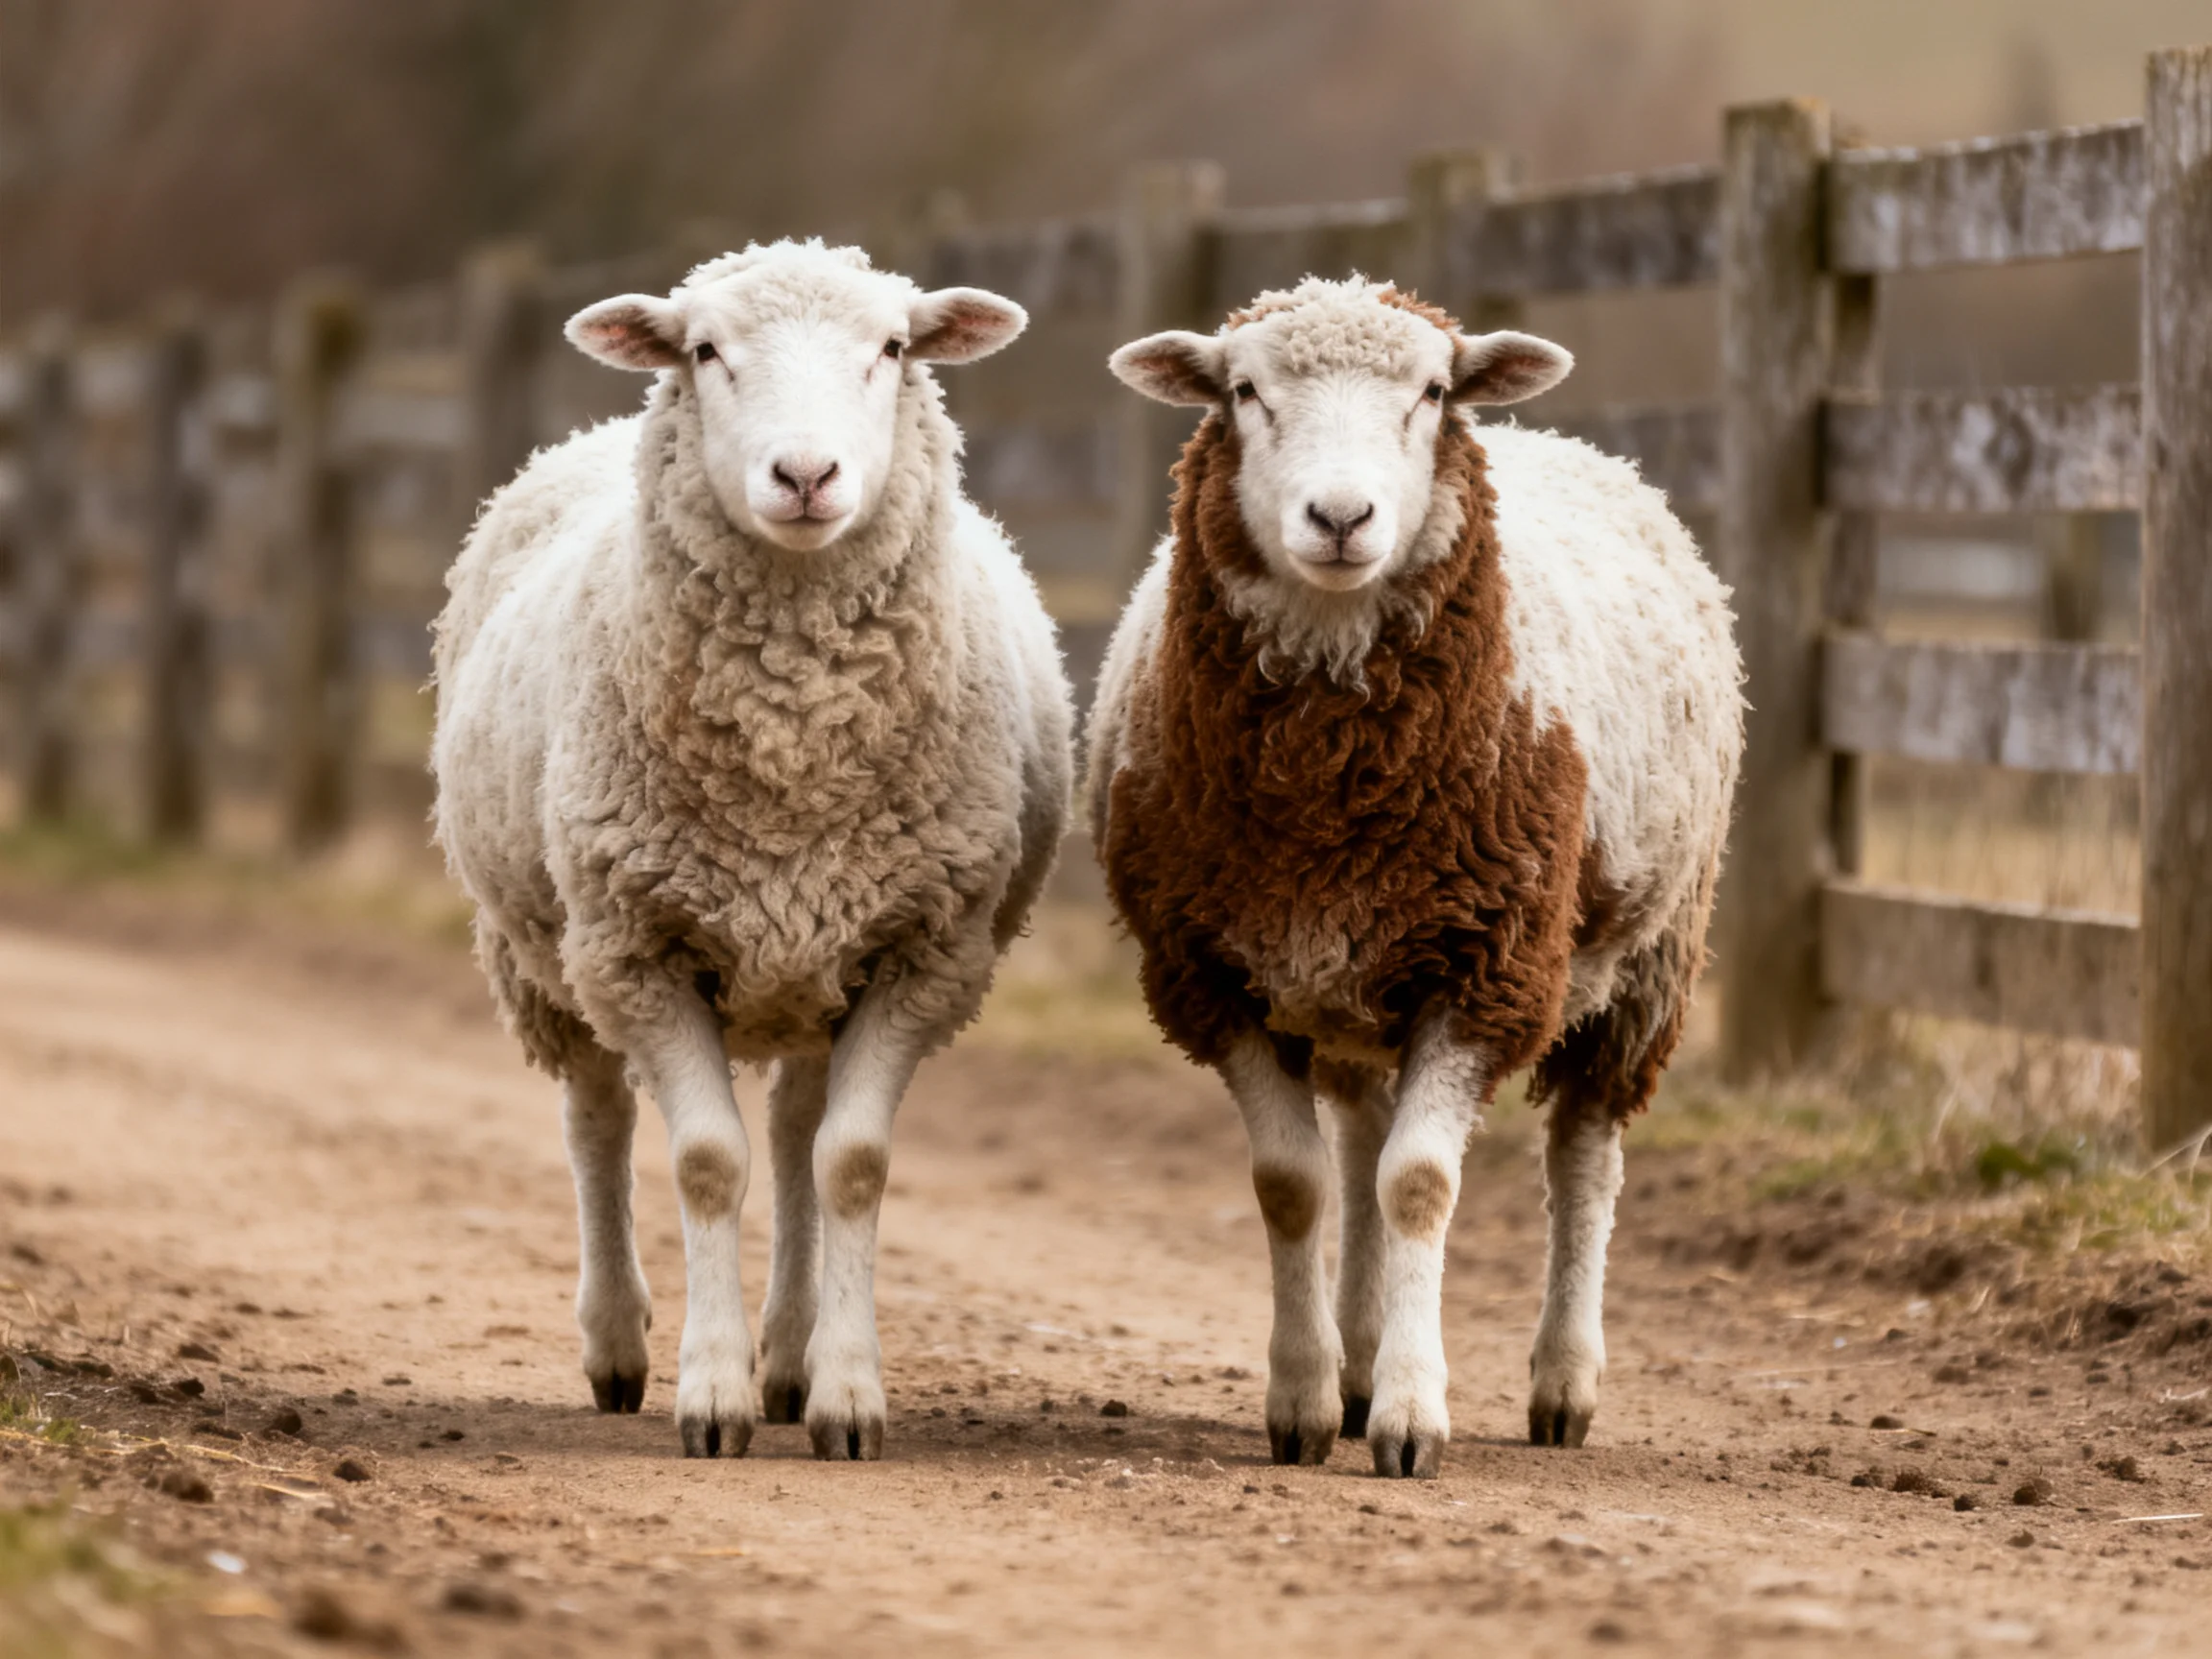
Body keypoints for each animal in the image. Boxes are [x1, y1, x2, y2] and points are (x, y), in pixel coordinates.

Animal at [432, 240, 1073, 1461]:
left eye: (893, 347)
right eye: (705, 351)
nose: (807, 474)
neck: (795, 735)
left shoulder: (922, 952)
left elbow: (849, 1165)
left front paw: (847, 1396)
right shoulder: (640, 945)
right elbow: (703, 1163)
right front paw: (711, 1396)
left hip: (815, 964)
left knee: (793, 1134)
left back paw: (791, 1355)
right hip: (547, 949)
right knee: (598, 1120)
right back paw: (620, 1345)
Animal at [1088, 276, 1742, 1479]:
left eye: (1432, 393)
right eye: (1244, 392)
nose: (1341, 520)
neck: (1327, 791)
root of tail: (1562, 439)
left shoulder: (1487, 969)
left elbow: (1420, 1185)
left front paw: (1409, 1416)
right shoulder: (1213, 974)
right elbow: (1295, 1184)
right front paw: (1306, 1401)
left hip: (1650, 961)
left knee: (1583, 1158)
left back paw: (1561, 1386)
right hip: (1353, 984)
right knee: (1356, 1140)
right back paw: (1353, 1360)